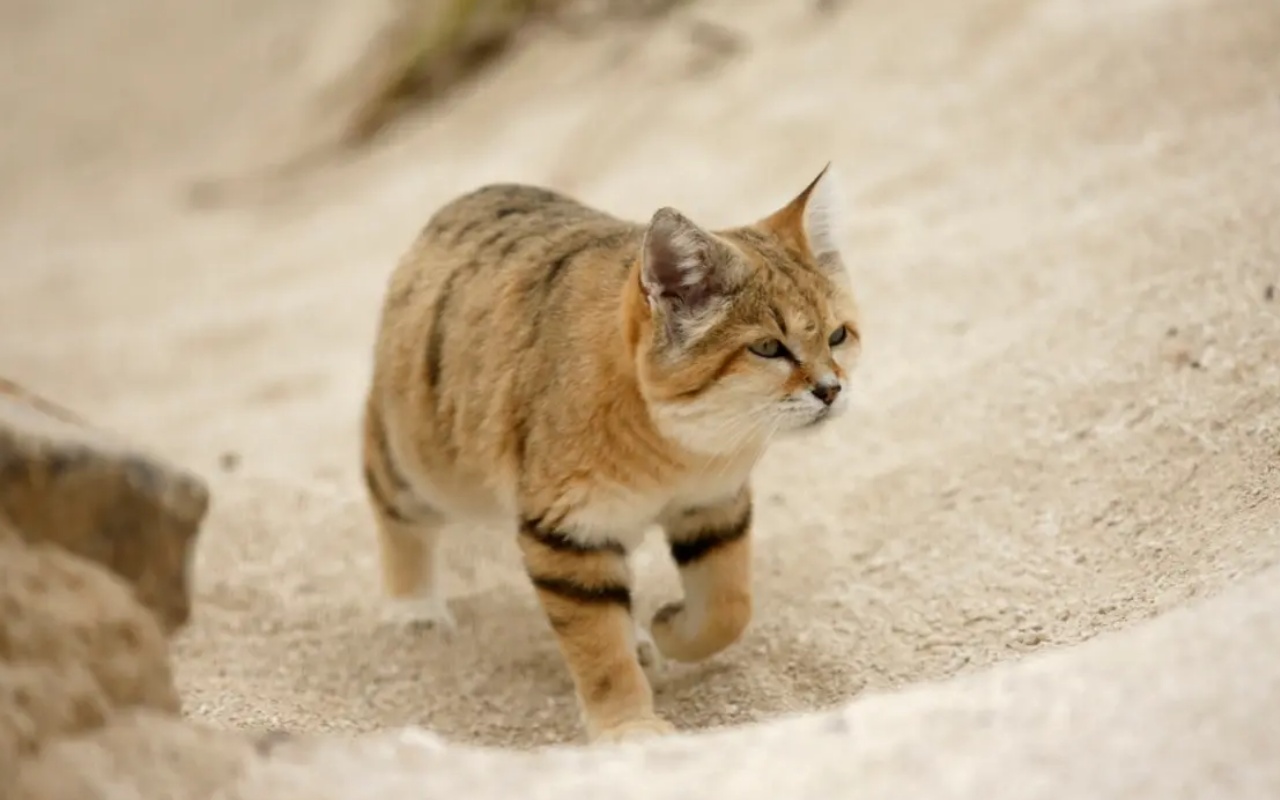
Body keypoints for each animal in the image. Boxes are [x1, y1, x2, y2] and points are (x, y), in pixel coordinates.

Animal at [360, 165, 860, 747]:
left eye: (838, 336)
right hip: (420, 463)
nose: (831, 390)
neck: (672, 449)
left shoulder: (713, 505)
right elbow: (600, 649)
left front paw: (668, 628)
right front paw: (630, 727)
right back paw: (413, 607)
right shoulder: (569, 536)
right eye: (767, 348)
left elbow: (729, 606)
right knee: (394, 510)